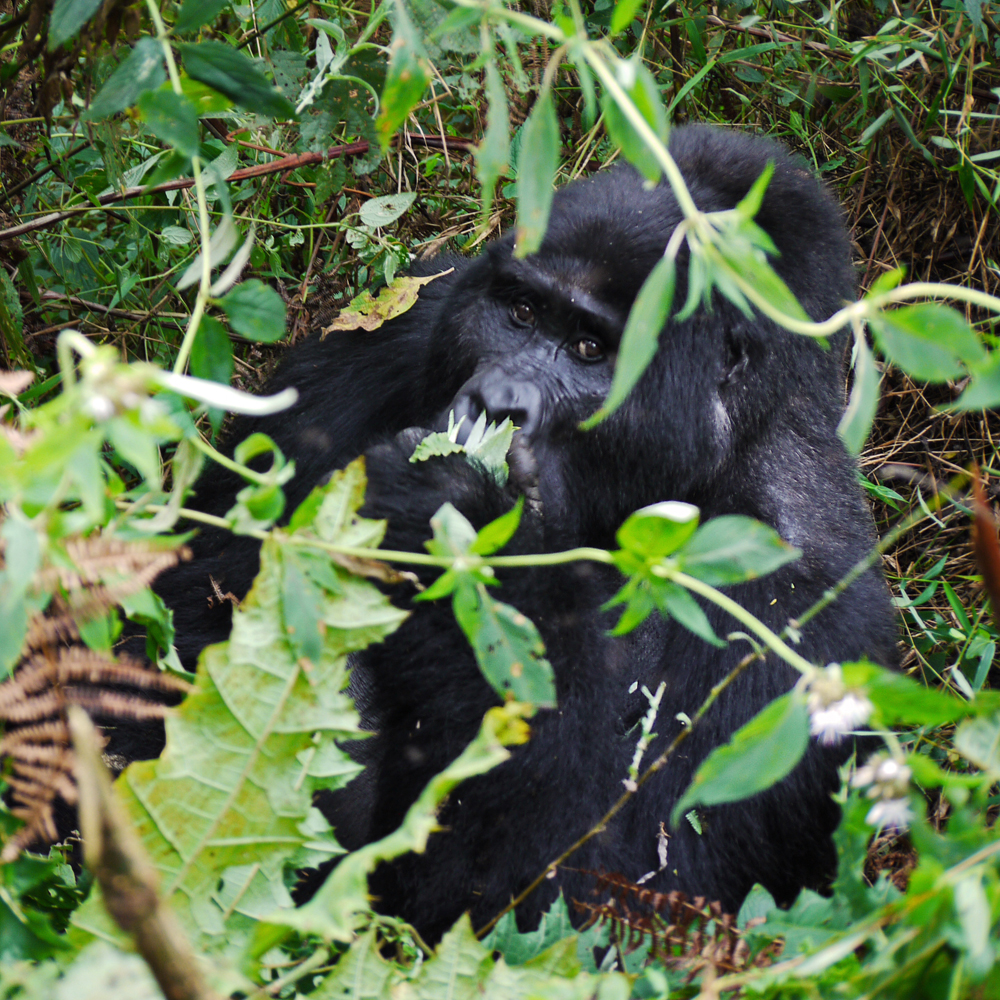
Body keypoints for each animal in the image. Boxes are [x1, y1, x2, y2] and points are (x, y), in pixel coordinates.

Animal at [131, 127, 900, 944]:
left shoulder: (807, 617)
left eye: (592, 350)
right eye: (523, 313)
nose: (498, 401)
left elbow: (604, 896)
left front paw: (458, 520)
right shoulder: (404, 319)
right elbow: (189, 613)